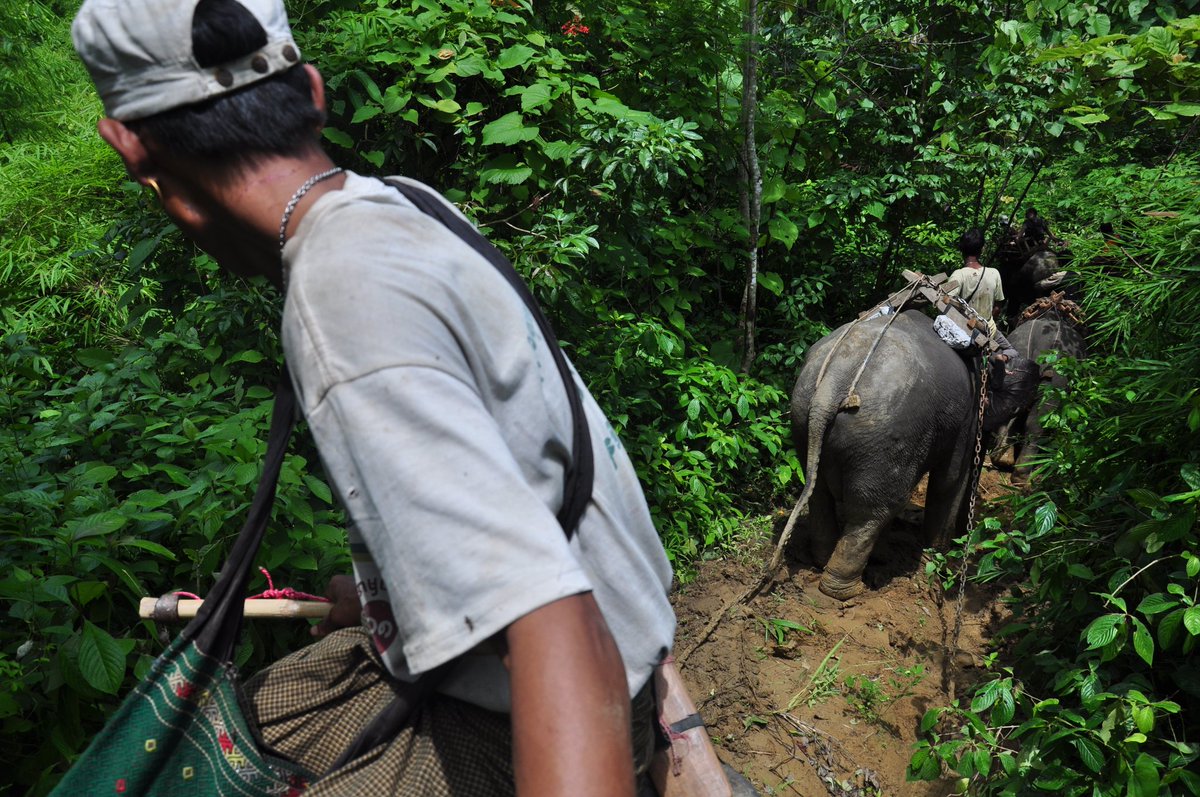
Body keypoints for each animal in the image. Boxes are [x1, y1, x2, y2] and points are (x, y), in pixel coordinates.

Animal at [787, 312, 984, 597]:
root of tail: (834, 380)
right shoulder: (966, 420)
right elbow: (950, 479)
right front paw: (938, 555)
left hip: (803, 416)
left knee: (819, 492)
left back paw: (823, 561)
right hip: (883, 438)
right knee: (873, 509)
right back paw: (848, 590)